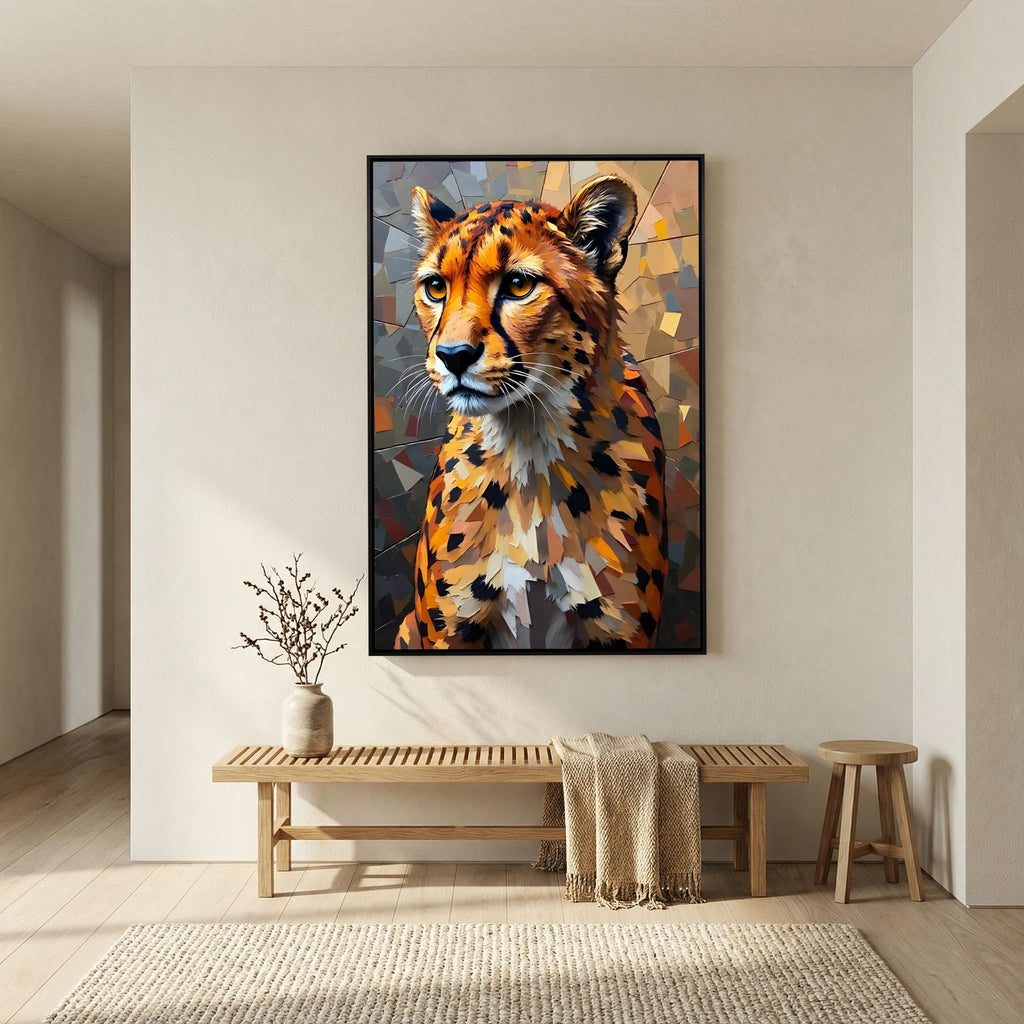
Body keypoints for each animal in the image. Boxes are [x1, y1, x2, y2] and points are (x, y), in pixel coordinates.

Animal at [393, 174, 668, 650]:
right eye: (436, 287)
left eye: (519, 284)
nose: (453, 355)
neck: (529, 440)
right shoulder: (449, 633)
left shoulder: (620, 631)